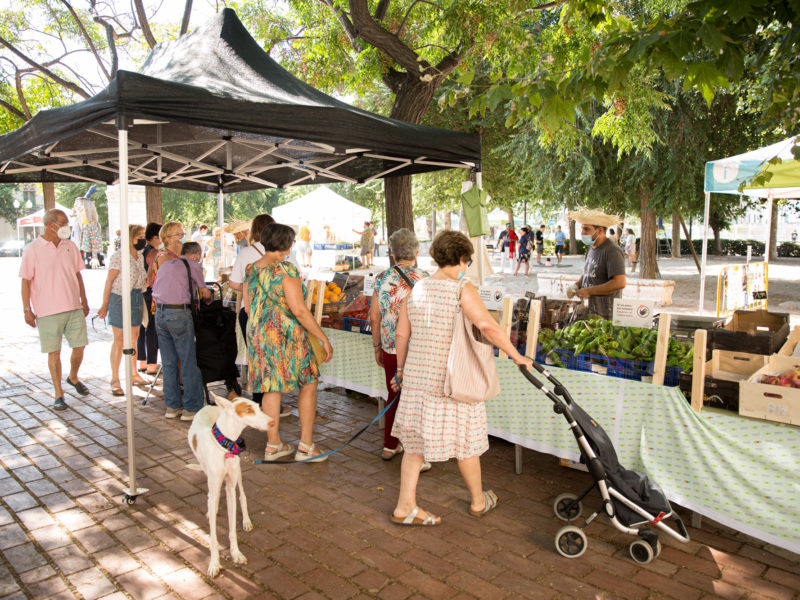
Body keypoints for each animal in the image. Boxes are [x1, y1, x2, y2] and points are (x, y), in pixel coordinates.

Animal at [188, 394, 274, 576]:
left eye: (258, 406)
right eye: (248, 410)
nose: (272, 422)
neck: (224, 447)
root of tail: (212, 405)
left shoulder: (230, 489)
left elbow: (233, 528)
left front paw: (236, 553)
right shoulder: (215, 484)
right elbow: (213, 536)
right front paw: (214, 563)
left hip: (239, 472)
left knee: (242, 496)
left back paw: (246, 521)